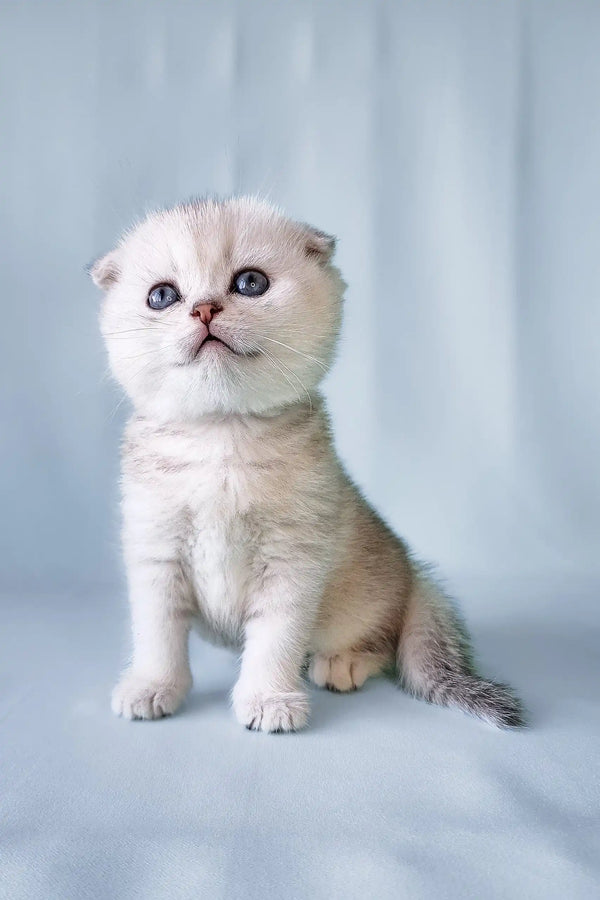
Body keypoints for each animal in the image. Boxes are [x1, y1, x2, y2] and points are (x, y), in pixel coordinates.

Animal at [91, 195, 524, 732]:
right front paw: (154, 686)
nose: (204, 308)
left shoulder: (293, 559)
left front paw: (268, 699)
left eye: (249, 283)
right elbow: (157, 633)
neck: (221, 437)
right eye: (162, 296)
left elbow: (275, 638)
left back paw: (343, 662)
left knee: (384, 639)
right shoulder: (156, 551)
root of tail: (413, 578)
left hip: (365, 601)